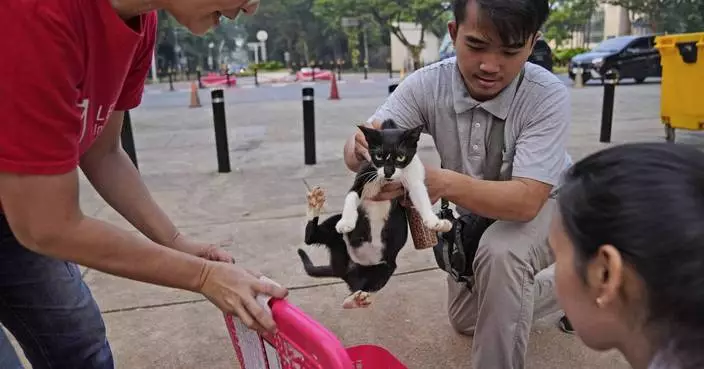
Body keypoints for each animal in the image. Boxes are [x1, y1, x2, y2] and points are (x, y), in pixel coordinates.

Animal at [296, 118, 452, 308]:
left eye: (401, 157)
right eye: (378, 156)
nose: (388, 171)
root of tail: (346, 269)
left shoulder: (413, 176)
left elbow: (421, 196)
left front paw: (434, 221)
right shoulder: (364, 173)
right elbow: (351, 195)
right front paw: (347, 221)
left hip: (386, 267)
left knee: (363, 286)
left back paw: (356, 299)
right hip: (335, 234)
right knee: (311, 237)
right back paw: (315, 203)